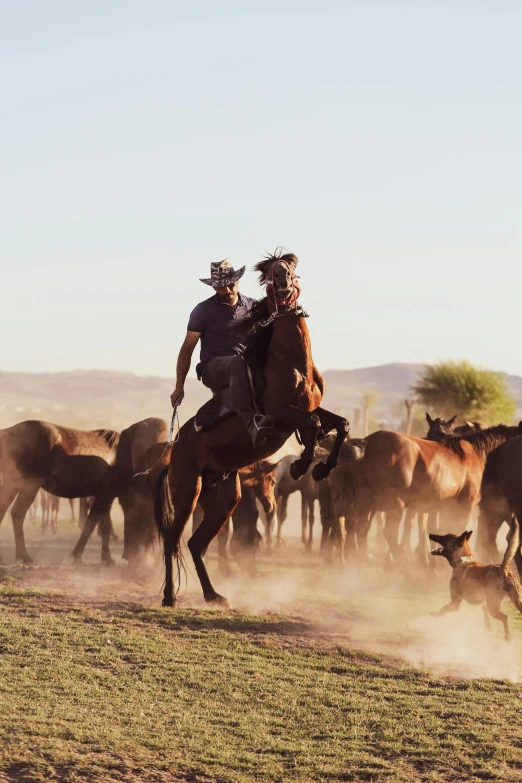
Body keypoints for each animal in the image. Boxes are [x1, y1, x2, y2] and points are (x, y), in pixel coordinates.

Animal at [154, 251, 350, 608]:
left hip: (223, 499)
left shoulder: (310, 409)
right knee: (173, 540)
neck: (291, 362)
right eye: (272, 272)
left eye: (292, 268)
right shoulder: (282, 415)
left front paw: (320, 468)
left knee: (196, 544)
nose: (284, 278)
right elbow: (313, 425)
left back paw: (213, 594)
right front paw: (301, 466)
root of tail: (173, 454)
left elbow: (339, 424)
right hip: (187, 492)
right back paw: (169, 596)